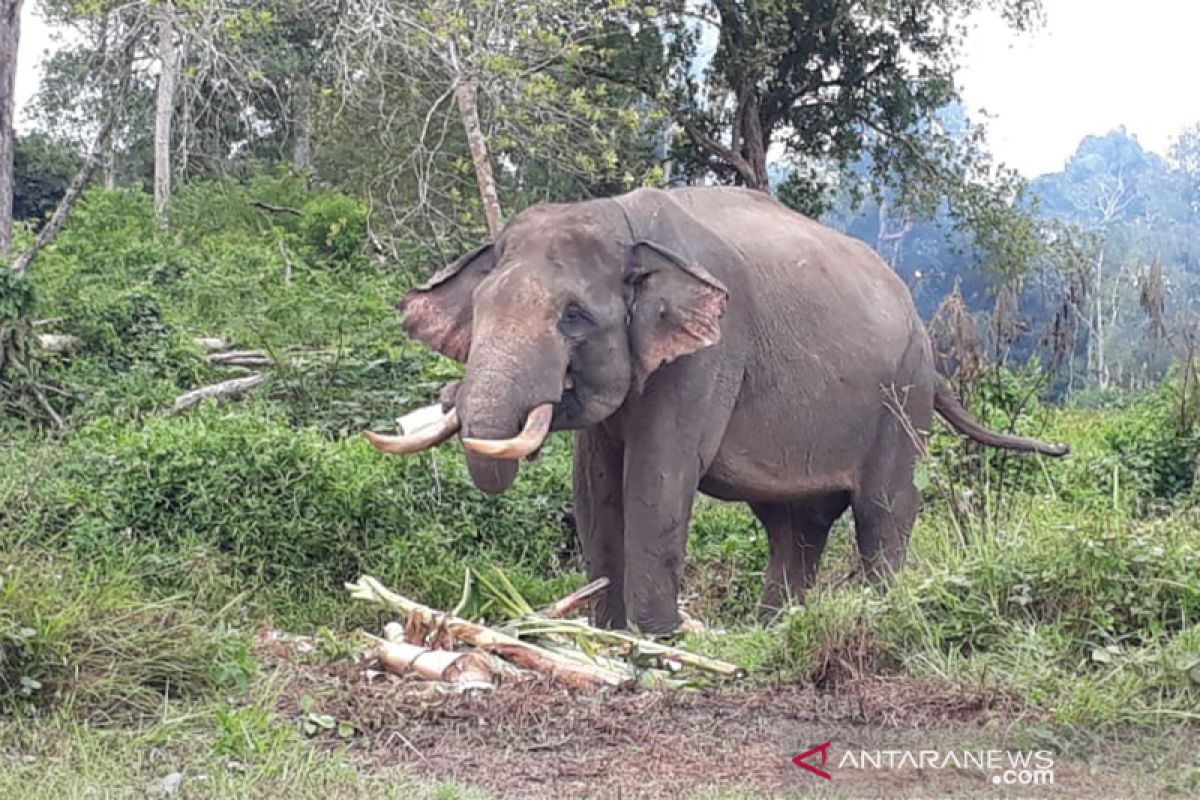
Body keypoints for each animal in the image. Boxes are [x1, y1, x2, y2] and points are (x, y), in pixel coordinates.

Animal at [367, 185, 1070, 633]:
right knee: (795, 526)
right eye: (479, 307)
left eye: (573, 317)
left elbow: (658, 476)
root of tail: (927, 337)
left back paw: (877, 613)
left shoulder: (709, 356)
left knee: (883, 510)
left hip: (903, 397)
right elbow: (595, 486)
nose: (448, 399)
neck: (622, 220)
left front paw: (656, 641)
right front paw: (606, 634)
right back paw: (772, 630)